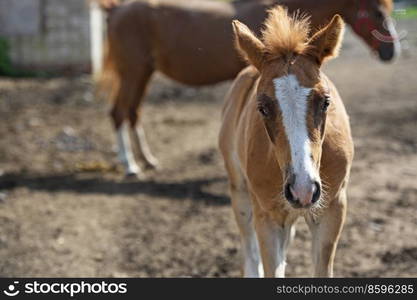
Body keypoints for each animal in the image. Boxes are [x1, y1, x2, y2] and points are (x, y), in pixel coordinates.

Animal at [90, 0, 390, 177]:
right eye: (378, 12)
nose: (391, 51)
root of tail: (115, 9)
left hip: (142, 73)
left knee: (132, 113)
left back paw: (147, 159)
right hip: (132, 72)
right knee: (119, 113)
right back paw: (130, 165)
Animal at [219, 6, 352, 276]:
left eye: (326, 102)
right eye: (262, 108)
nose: (303, 189)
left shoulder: (332, 211)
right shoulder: (267, 219)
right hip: (240, 192)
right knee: (250, 252)